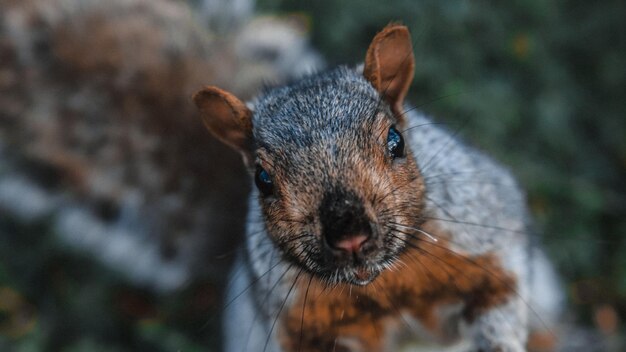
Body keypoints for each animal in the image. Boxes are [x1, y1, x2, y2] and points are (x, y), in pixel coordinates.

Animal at [191, 24, 560, 352]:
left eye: (396, 140)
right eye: (262, 179)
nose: (350, 236)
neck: (383, 282)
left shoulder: (487, 242)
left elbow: (497, 304)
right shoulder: (296, 322)